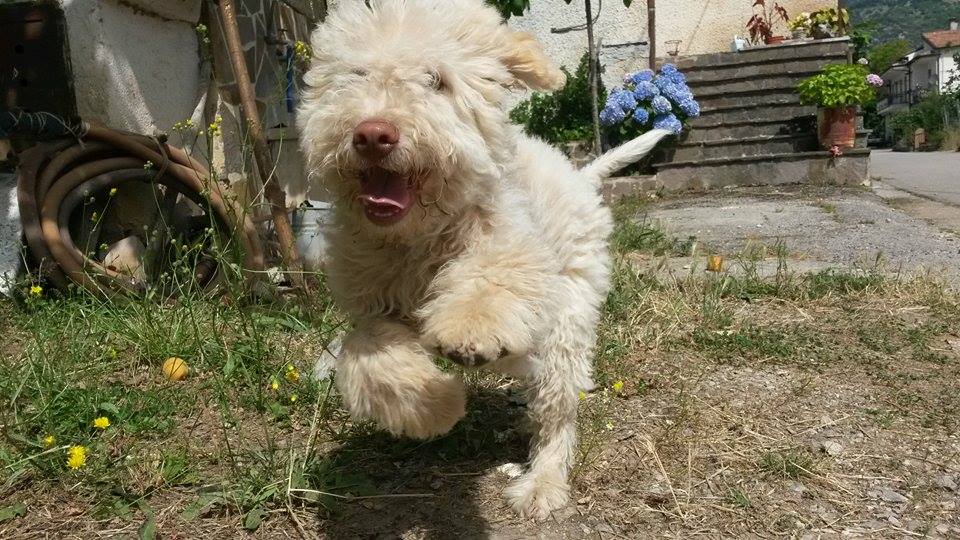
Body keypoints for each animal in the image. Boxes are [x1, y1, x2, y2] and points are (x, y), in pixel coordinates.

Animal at [296, 0, 672, 516]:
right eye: (355, 75)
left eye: (436, 80)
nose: (372, 134)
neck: (418, 238)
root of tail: (579, 178)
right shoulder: (374, 305)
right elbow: (367, 355)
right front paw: (435, 408)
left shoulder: (510, 248)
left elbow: (490, 282)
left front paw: (469, 331)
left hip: (569, 308)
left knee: (557, 399)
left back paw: (542, 482)